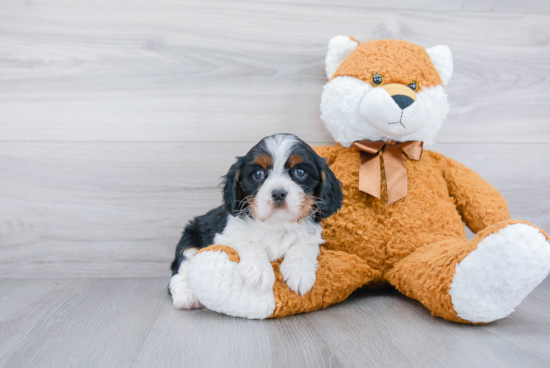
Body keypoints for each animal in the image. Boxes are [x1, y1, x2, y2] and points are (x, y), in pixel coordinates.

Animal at [168, 134, 342, 310]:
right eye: (258, 174)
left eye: (300, 172)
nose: (278, 193)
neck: (277, 224)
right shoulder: (226, 236)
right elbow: (252, 245)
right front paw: (259, 271)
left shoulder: (311, 237)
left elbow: (302, 247)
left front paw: (299, 273)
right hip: (189, 240)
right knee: (180, 272)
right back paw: (186, 296)